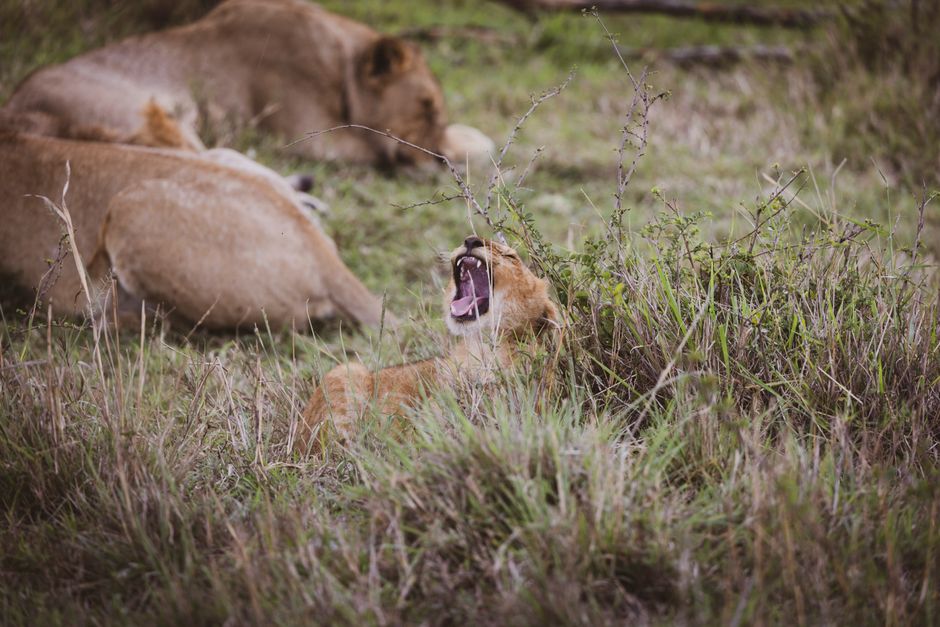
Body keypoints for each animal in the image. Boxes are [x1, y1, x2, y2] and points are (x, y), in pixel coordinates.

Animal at [4, 0, 493, 166]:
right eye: (425, 106)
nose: (438, 160)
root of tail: (15, 114)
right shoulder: (313, 140)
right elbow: (376, 147)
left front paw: (470, 142)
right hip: (139, 114)